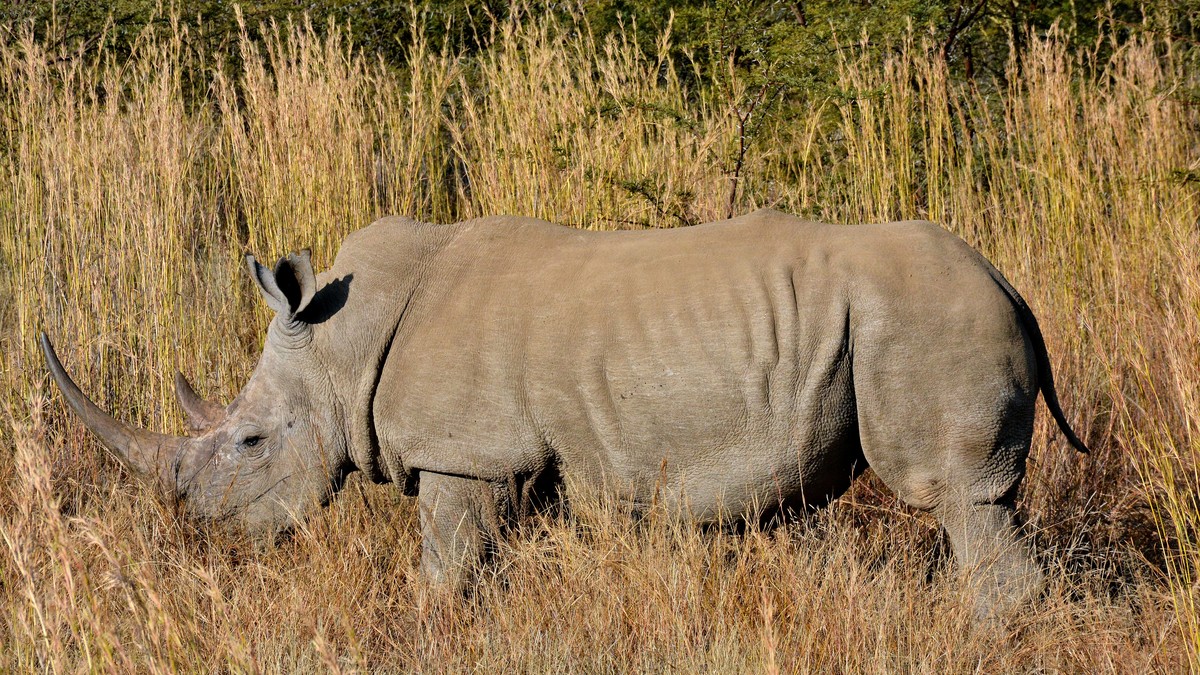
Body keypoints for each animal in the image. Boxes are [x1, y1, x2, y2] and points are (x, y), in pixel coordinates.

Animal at [42, 208, 1088, 619]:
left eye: (251, 441)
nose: (195, 531)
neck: (341, 345)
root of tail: (1013, 286)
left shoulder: (467, 457)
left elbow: (444, 574)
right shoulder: (512, 464)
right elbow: (485, 569)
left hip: (928, 320)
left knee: (957, 500)